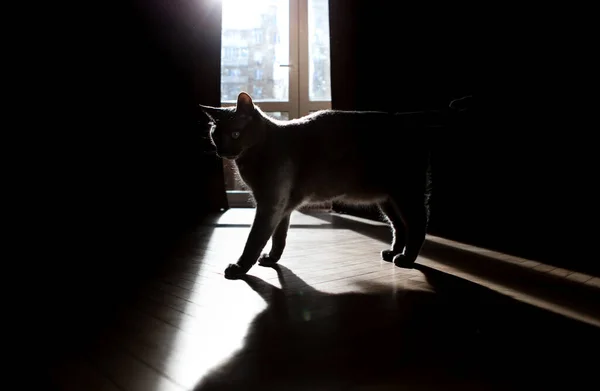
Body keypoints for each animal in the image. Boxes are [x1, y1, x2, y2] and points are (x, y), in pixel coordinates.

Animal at [202, 92, 460, 280]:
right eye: (216, 135)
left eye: (235, 134)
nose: (222, 151)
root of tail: (405, 117)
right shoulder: (282, 206)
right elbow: (279, 237)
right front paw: (271, 259)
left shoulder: (270, 203)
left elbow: (255, 238)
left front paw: (239, 268)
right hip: (387, 199)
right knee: (399, 226)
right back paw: (393, 253)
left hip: (405, 193)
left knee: (418, 224)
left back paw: (406, 260)